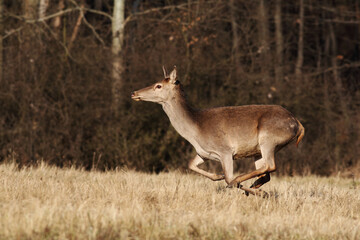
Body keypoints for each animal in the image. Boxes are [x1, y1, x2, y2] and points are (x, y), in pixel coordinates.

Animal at [131, 66, 306, 197]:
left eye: (158, 85)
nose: (134, 93)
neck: (196, 130)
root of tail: (297, 124)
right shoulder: (204, 152)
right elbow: (190, 165)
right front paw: (219, 176)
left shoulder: (225, 150)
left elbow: (228, 177)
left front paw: (237, 183)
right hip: (257, 151)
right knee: (266, 172)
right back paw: (255, 186)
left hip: (268, 139)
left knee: (270, 166)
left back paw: (246, 184)